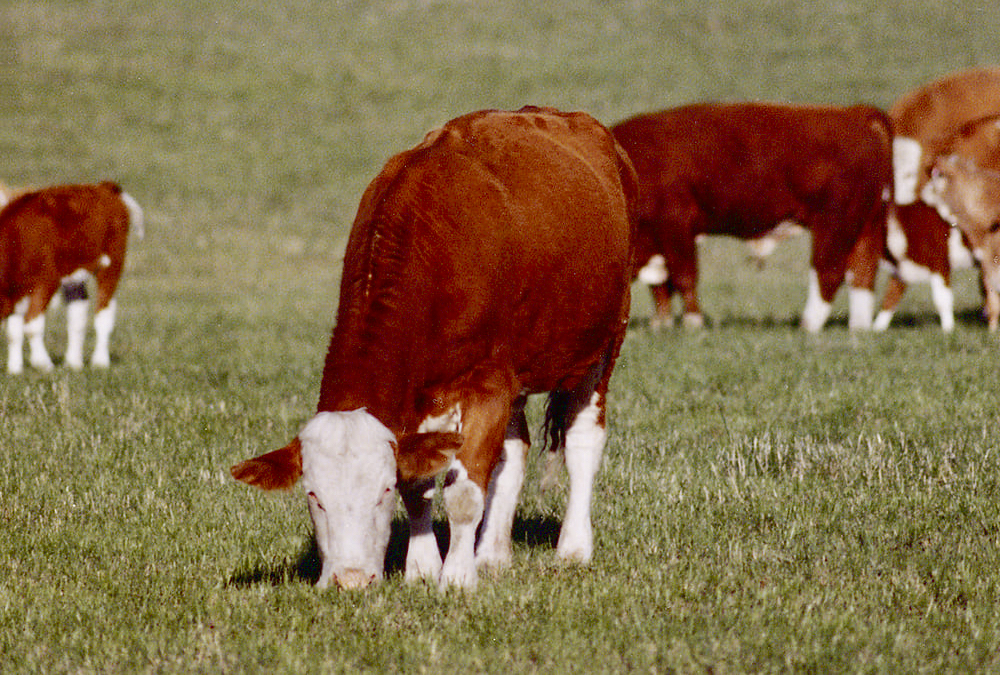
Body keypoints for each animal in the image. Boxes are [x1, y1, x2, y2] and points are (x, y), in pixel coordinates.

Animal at [1, 182, 144, 373]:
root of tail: (104, 186)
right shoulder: (15, 292)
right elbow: (13, 332)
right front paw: (15, 369)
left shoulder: (47, 280)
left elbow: (32, 325)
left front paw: (42, 363)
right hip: (75, 275)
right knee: (78, 312)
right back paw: (73, 362)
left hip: (112, 261)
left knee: (104, 313)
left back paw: (100, 361)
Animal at [230, 106, 638, 591]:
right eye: (314, 495)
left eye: (381, 491)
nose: (351, 580)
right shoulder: (424, 399)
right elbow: (422, 483)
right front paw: (422, 568)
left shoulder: (487, 383)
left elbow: (463, 492)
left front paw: (457, 578)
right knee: (513, 452)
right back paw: (492, 554)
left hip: (604, 341)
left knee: (581, 440)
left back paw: (573, 548)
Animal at [611, 102, 893, 332]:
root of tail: (853, 113)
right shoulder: (656, 239)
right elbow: (661, 287)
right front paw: (661, 323)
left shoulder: (675, 224)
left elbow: (683, 277)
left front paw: (693, 322)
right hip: (865, 221)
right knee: (863, 270)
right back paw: (859, 327)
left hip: (835, 220)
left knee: (829, 271)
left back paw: (809, 325)